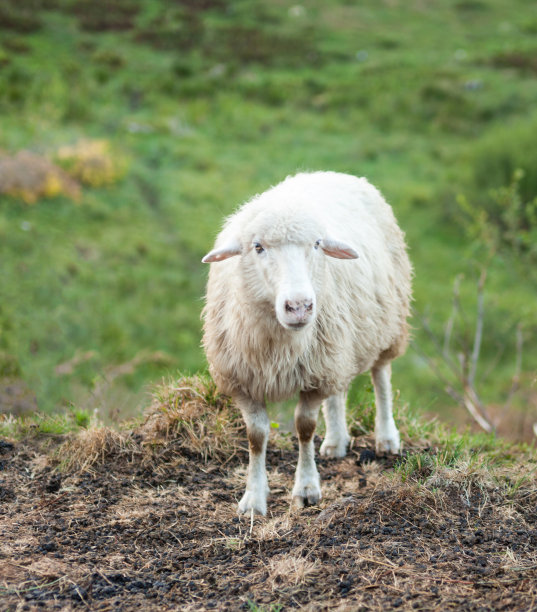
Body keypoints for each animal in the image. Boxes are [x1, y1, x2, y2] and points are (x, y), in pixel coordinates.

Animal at [201, 172, 410, 516]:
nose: (299, 306)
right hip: (336, 346)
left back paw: (387, 437)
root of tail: (333, 173)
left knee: (381, 376)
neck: (279, 344)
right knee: (338, 390)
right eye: (258, 247)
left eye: (316, 244)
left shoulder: (314, 376)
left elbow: (304, 428)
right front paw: (254, 498)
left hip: (385, 325)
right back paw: (336, 441)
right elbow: (255, 436)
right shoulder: (243, 380)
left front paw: (307, 489)